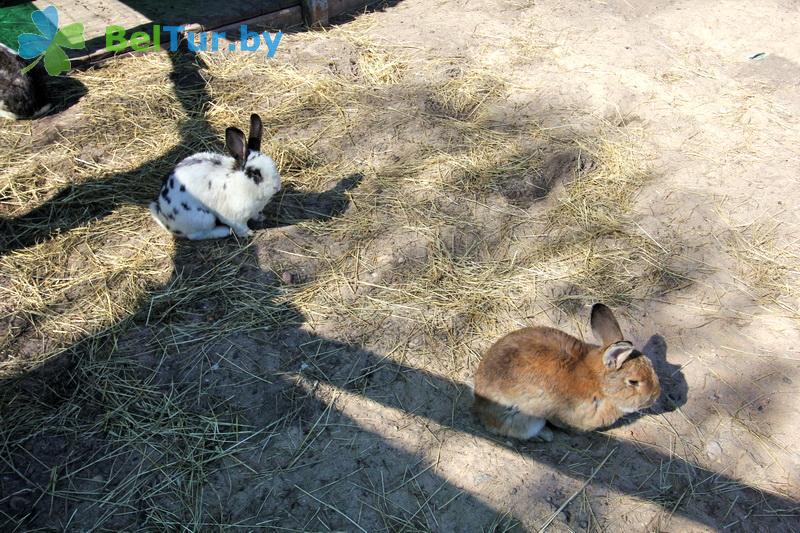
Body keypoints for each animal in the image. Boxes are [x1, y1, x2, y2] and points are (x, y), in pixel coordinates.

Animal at [150, 114, 282, 239]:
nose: (277, 187)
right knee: (196, 235)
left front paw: (261, 217)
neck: (241, 183)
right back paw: (224, 231)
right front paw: (249, 234)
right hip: (204, 218)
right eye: (255, 173)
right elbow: (241, 228)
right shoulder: (235, 219)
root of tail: (164, 218)